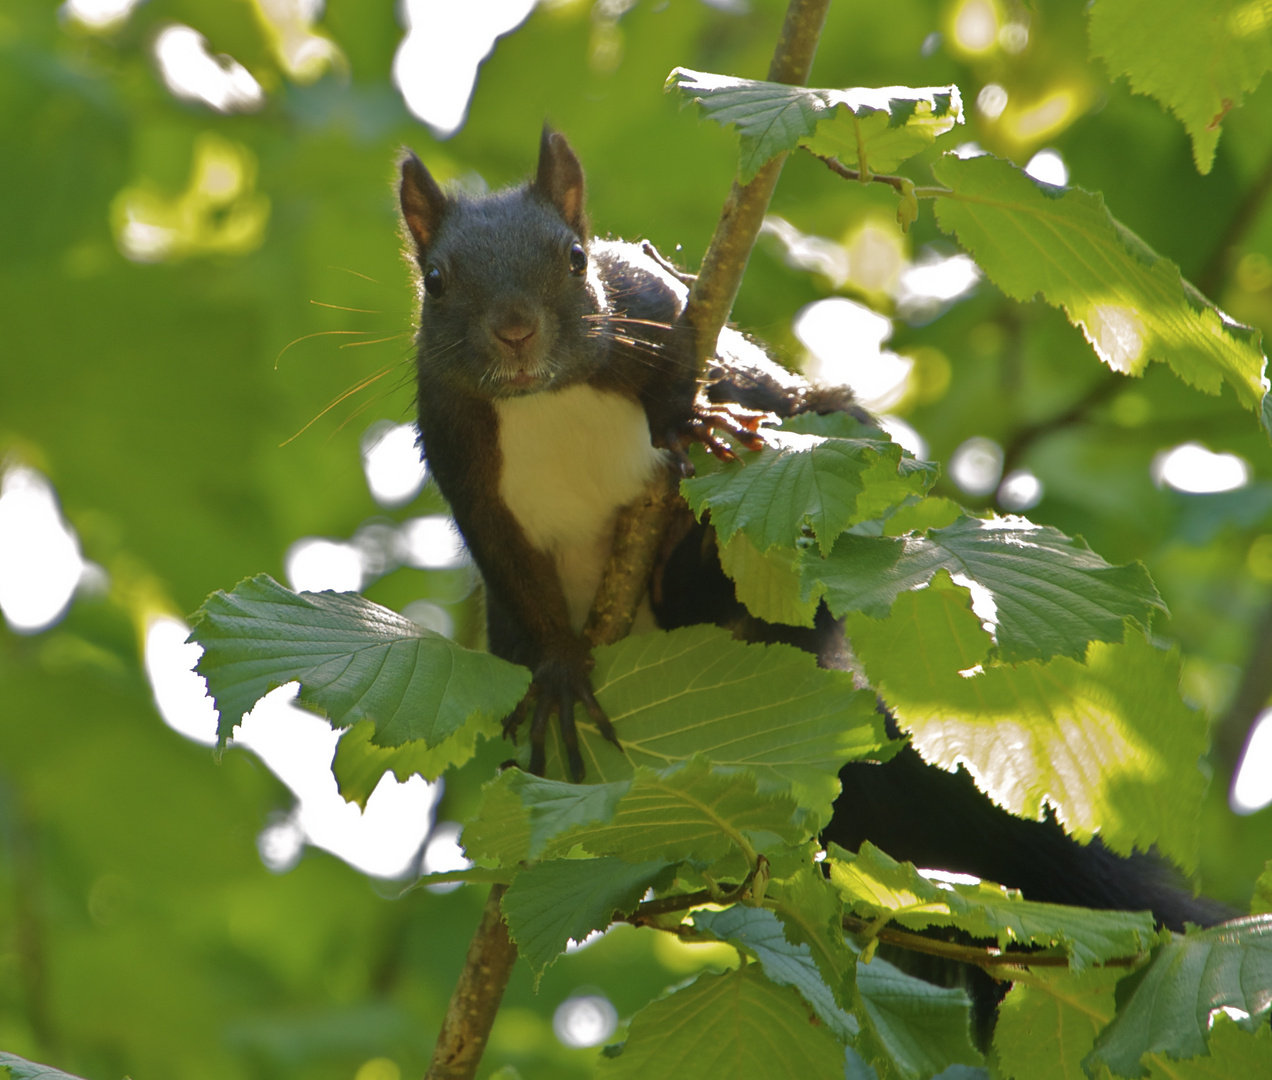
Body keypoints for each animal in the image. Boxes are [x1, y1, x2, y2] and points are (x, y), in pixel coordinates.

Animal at [396, 124, 1231, 936]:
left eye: (575, 258)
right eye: (435, 281)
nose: (515, 332)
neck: (546, 399)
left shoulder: (657, 301)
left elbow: (740, 377)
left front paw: (689, 417)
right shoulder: (455, 452)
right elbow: (505, 560)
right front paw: (561, 672)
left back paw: (691, 555)